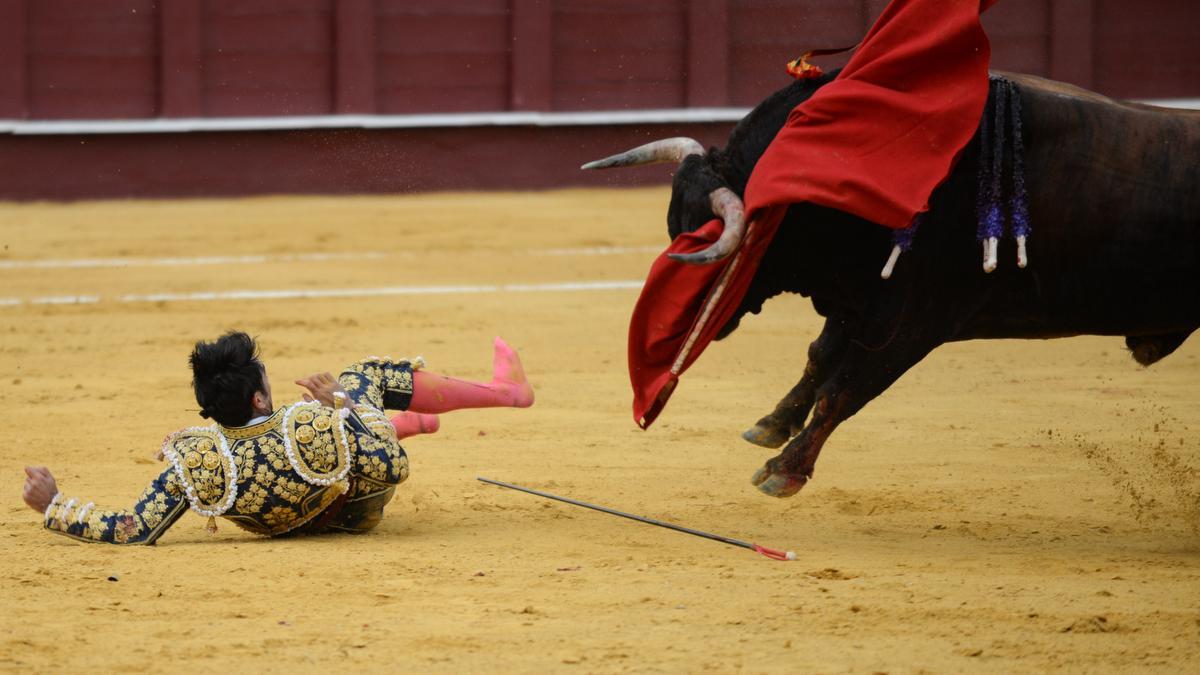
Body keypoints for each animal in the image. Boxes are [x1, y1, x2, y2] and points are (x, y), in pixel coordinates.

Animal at [583, 72, 1200, 494]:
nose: (677, 329)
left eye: (711, 252)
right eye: (673, 228)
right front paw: (770, 426)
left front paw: (784, 471)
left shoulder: (912, 324)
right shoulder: (861, 299)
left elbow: (847, 388)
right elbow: (819, 359)